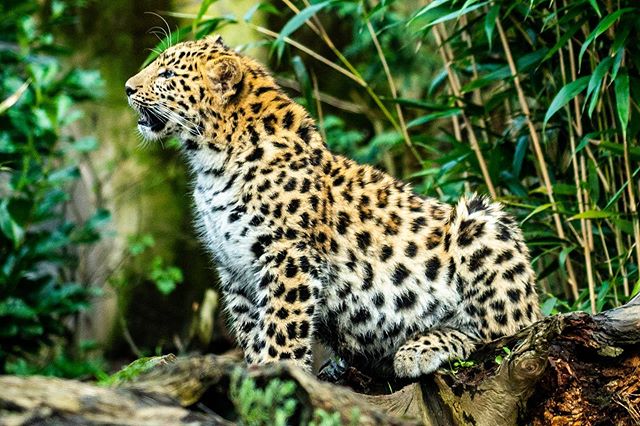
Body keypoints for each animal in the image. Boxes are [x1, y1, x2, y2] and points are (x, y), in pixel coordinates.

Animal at [125, 35, 541, 378]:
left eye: (165, 74)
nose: (128, 87)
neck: (210, 162)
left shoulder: (289, 256)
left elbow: (280, 325)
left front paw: (275, 374)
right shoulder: (234, 269)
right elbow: (250, 329)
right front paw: (255, 373)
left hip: (482, 222)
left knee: (503, 332)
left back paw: (419, 348)